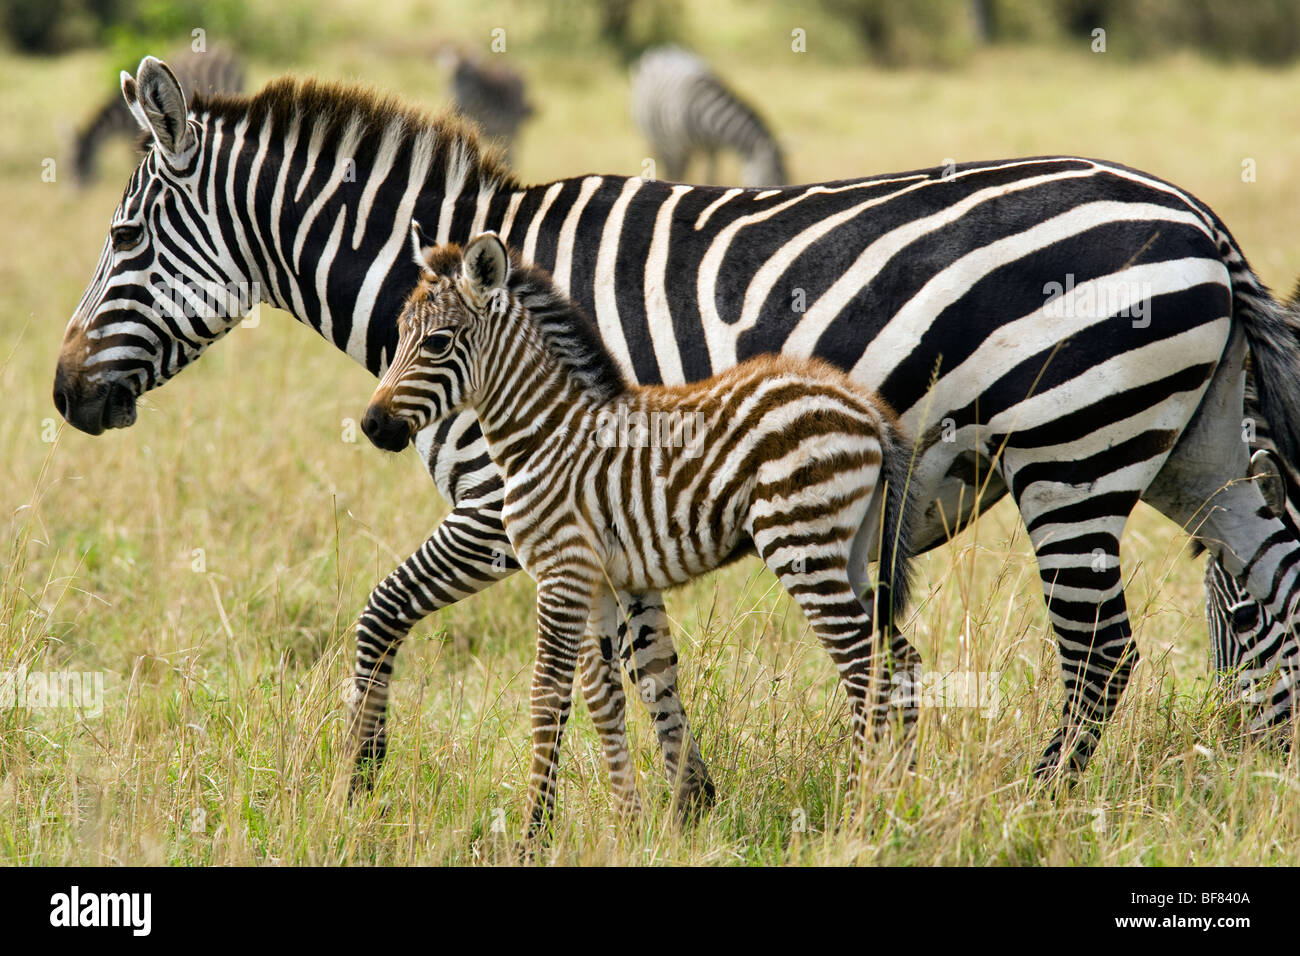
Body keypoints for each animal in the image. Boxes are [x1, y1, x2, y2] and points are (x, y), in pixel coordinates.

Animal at [69, 47, 244, 187]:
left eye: (80, 160)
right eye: (70, 163)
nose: (76, 189)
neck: (121, 118)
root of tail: (229, 52)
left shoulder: (134, 132)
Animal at [361, 227, 920, 832]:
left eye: (438, 342)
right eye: (398, 336)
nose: (371, 425)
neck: (546, 433)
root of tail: (865, 407)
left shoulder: (560, 572)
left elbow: (548, 696)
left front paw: (535, 830)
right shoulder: (597, 578)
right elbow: (602, 696)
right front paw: (627, 820)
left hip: (800, 543)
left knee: (864, 668)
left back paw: (857, 811)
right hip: (849, 552)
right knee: (901, 661)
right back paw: (901, 800)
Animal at [626, 45, 780, 187]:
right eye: (769, 178)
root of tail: (663, 49)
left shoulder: (713, 147)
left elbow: (711, 176)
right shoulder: (676, 147)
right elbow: (675, 174)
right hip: (656, 137)